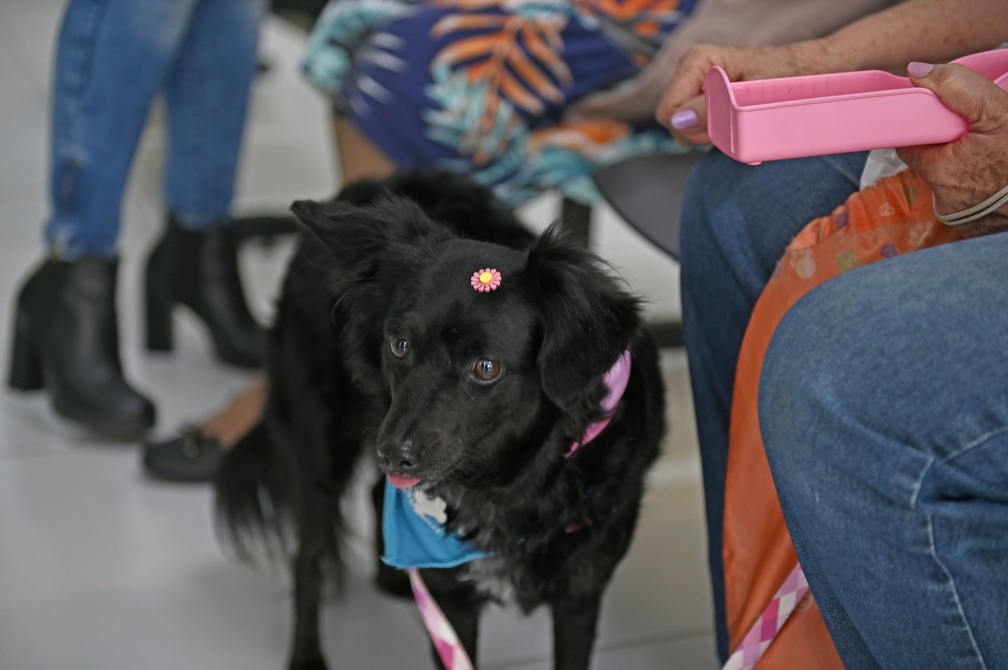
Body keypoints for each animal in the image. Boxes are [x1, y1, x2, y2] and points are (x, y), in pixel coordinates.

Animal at [216, 170, 665, 664]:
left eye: (486, 367)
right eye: (400, 345)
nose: (394, 455)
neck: (509, 486)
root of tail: (368, 186)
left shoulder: (581, 594)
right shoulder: (451, 605)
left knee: (375, 492)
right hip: (319, 446)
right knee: (308, 556)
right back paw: (308, 654)